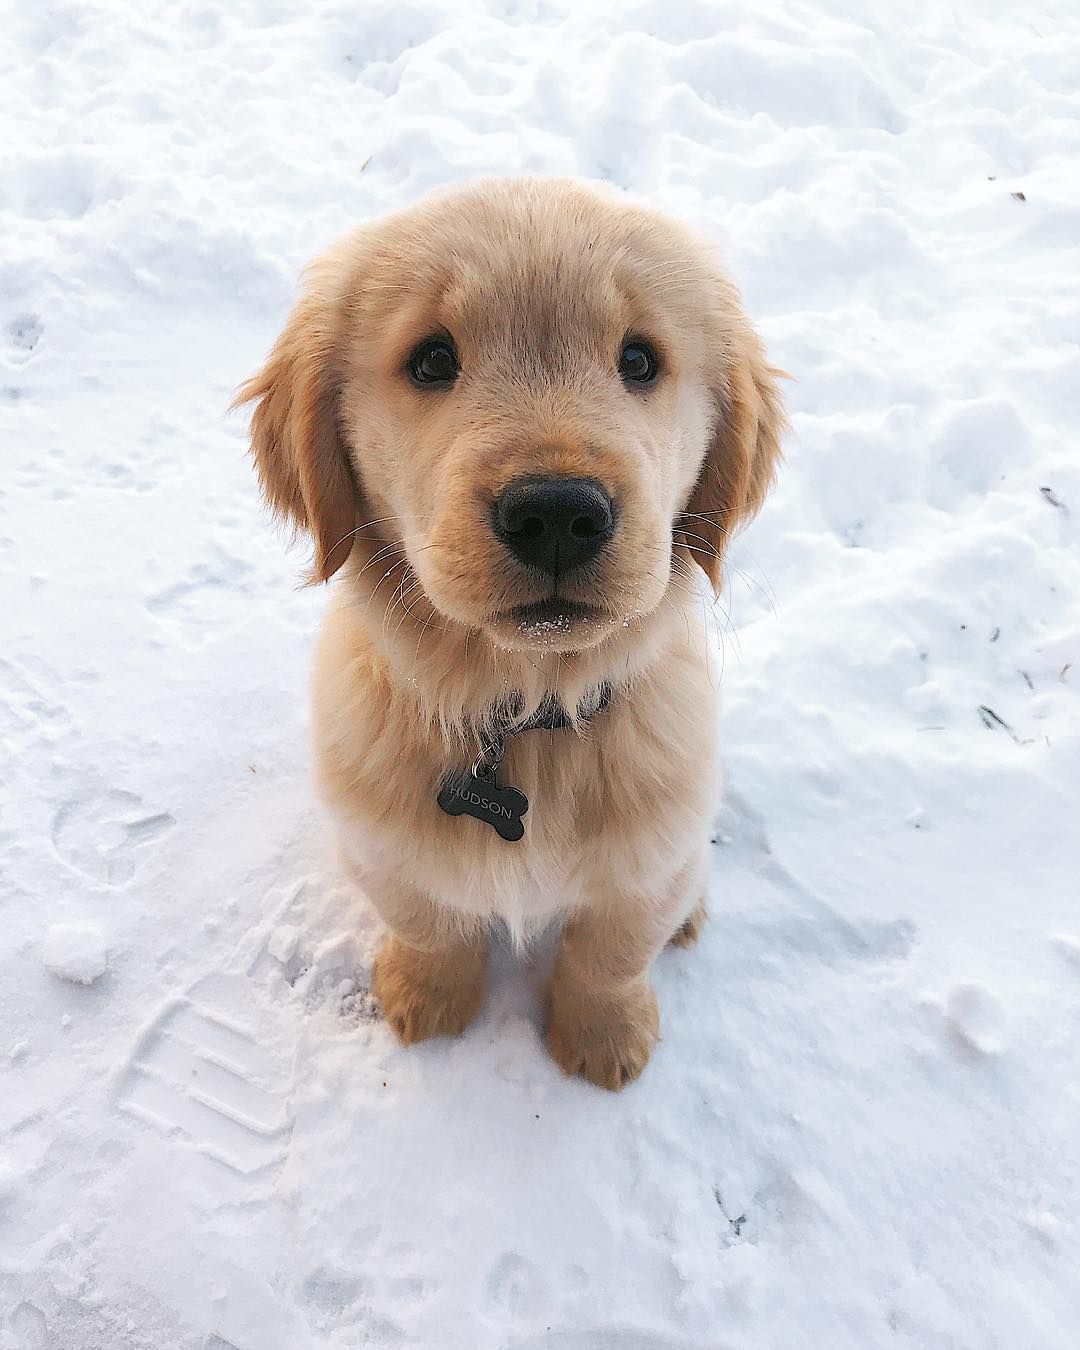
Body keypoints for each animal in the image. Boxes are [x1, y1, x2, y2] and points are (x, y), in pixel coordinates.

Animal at [236, 176, 783, 1085]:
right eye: (431, 360)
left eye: (640, 361)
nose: (557, 513)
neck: (523, 712)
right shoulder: (382, 846)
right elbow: (427, 924)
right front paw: (428, 1000)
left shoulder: (650, 856)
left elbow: (612, 951)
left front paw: (603, 1038)